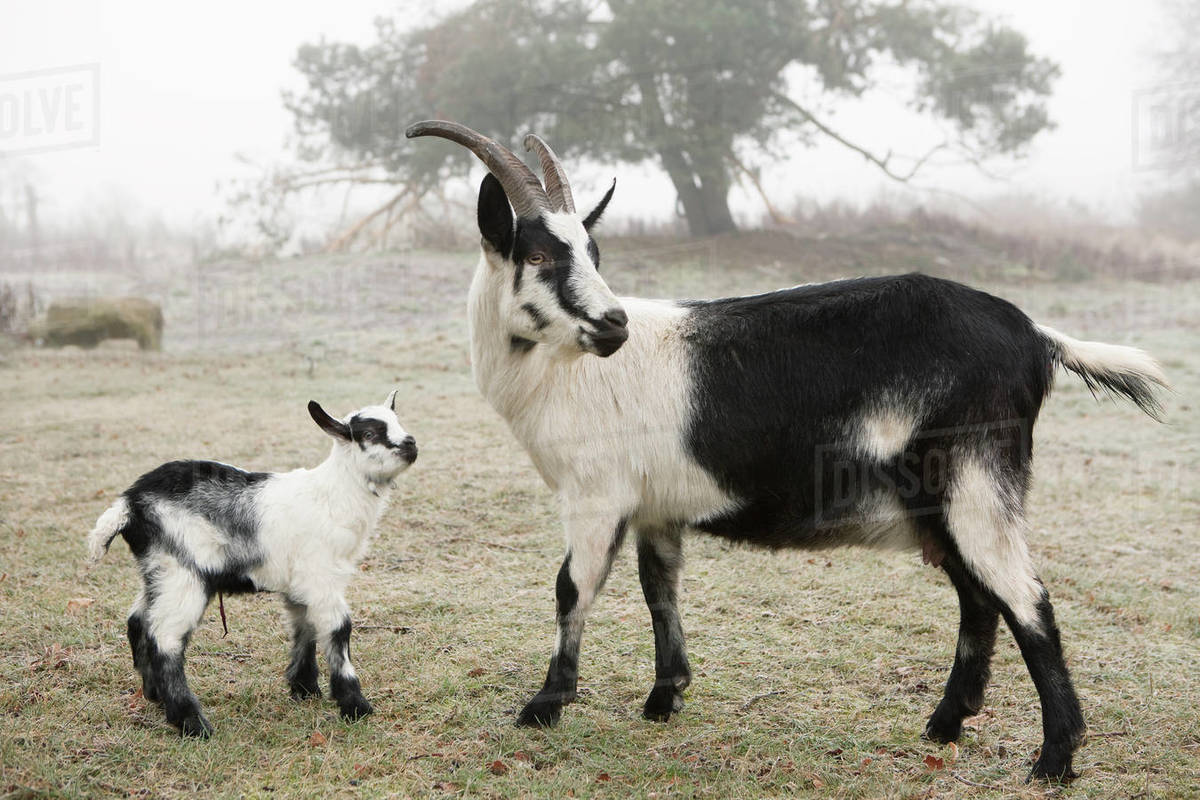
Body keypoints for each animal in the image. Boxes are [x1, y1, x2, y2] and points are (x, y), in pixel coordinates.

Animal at [87, 391, 417, 737]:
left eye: (397, 421)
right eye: (368, 434)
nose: (411, 444)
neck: (331, 495)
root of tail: (129, 504)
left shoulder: (300, 582)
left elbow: (305, 626)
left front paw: (304, 688)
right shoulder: (321, 575)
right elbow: (339, 629)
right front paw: (355, 705)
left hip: (157, 571)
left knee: (138, 621)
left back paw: (155, 695)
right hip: (183, 573)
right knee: (165, 636)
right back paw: (191, 721)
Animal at [406, 121, 1167, 782]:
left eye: (592, 255)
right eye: (537, 255)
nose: (614, 324)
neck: (565, 373)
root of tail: (1033, 333)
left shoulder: (596, 495)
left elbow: (574, 586)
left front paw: (544, 707)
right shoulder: (655, 506)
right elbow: (660, 588)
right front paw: (665, 697)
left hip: (975, 480)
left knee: (1027, 601)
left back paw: (1053, 761)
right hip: (941, 501)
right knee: (980, 599)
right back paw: (945, 725)